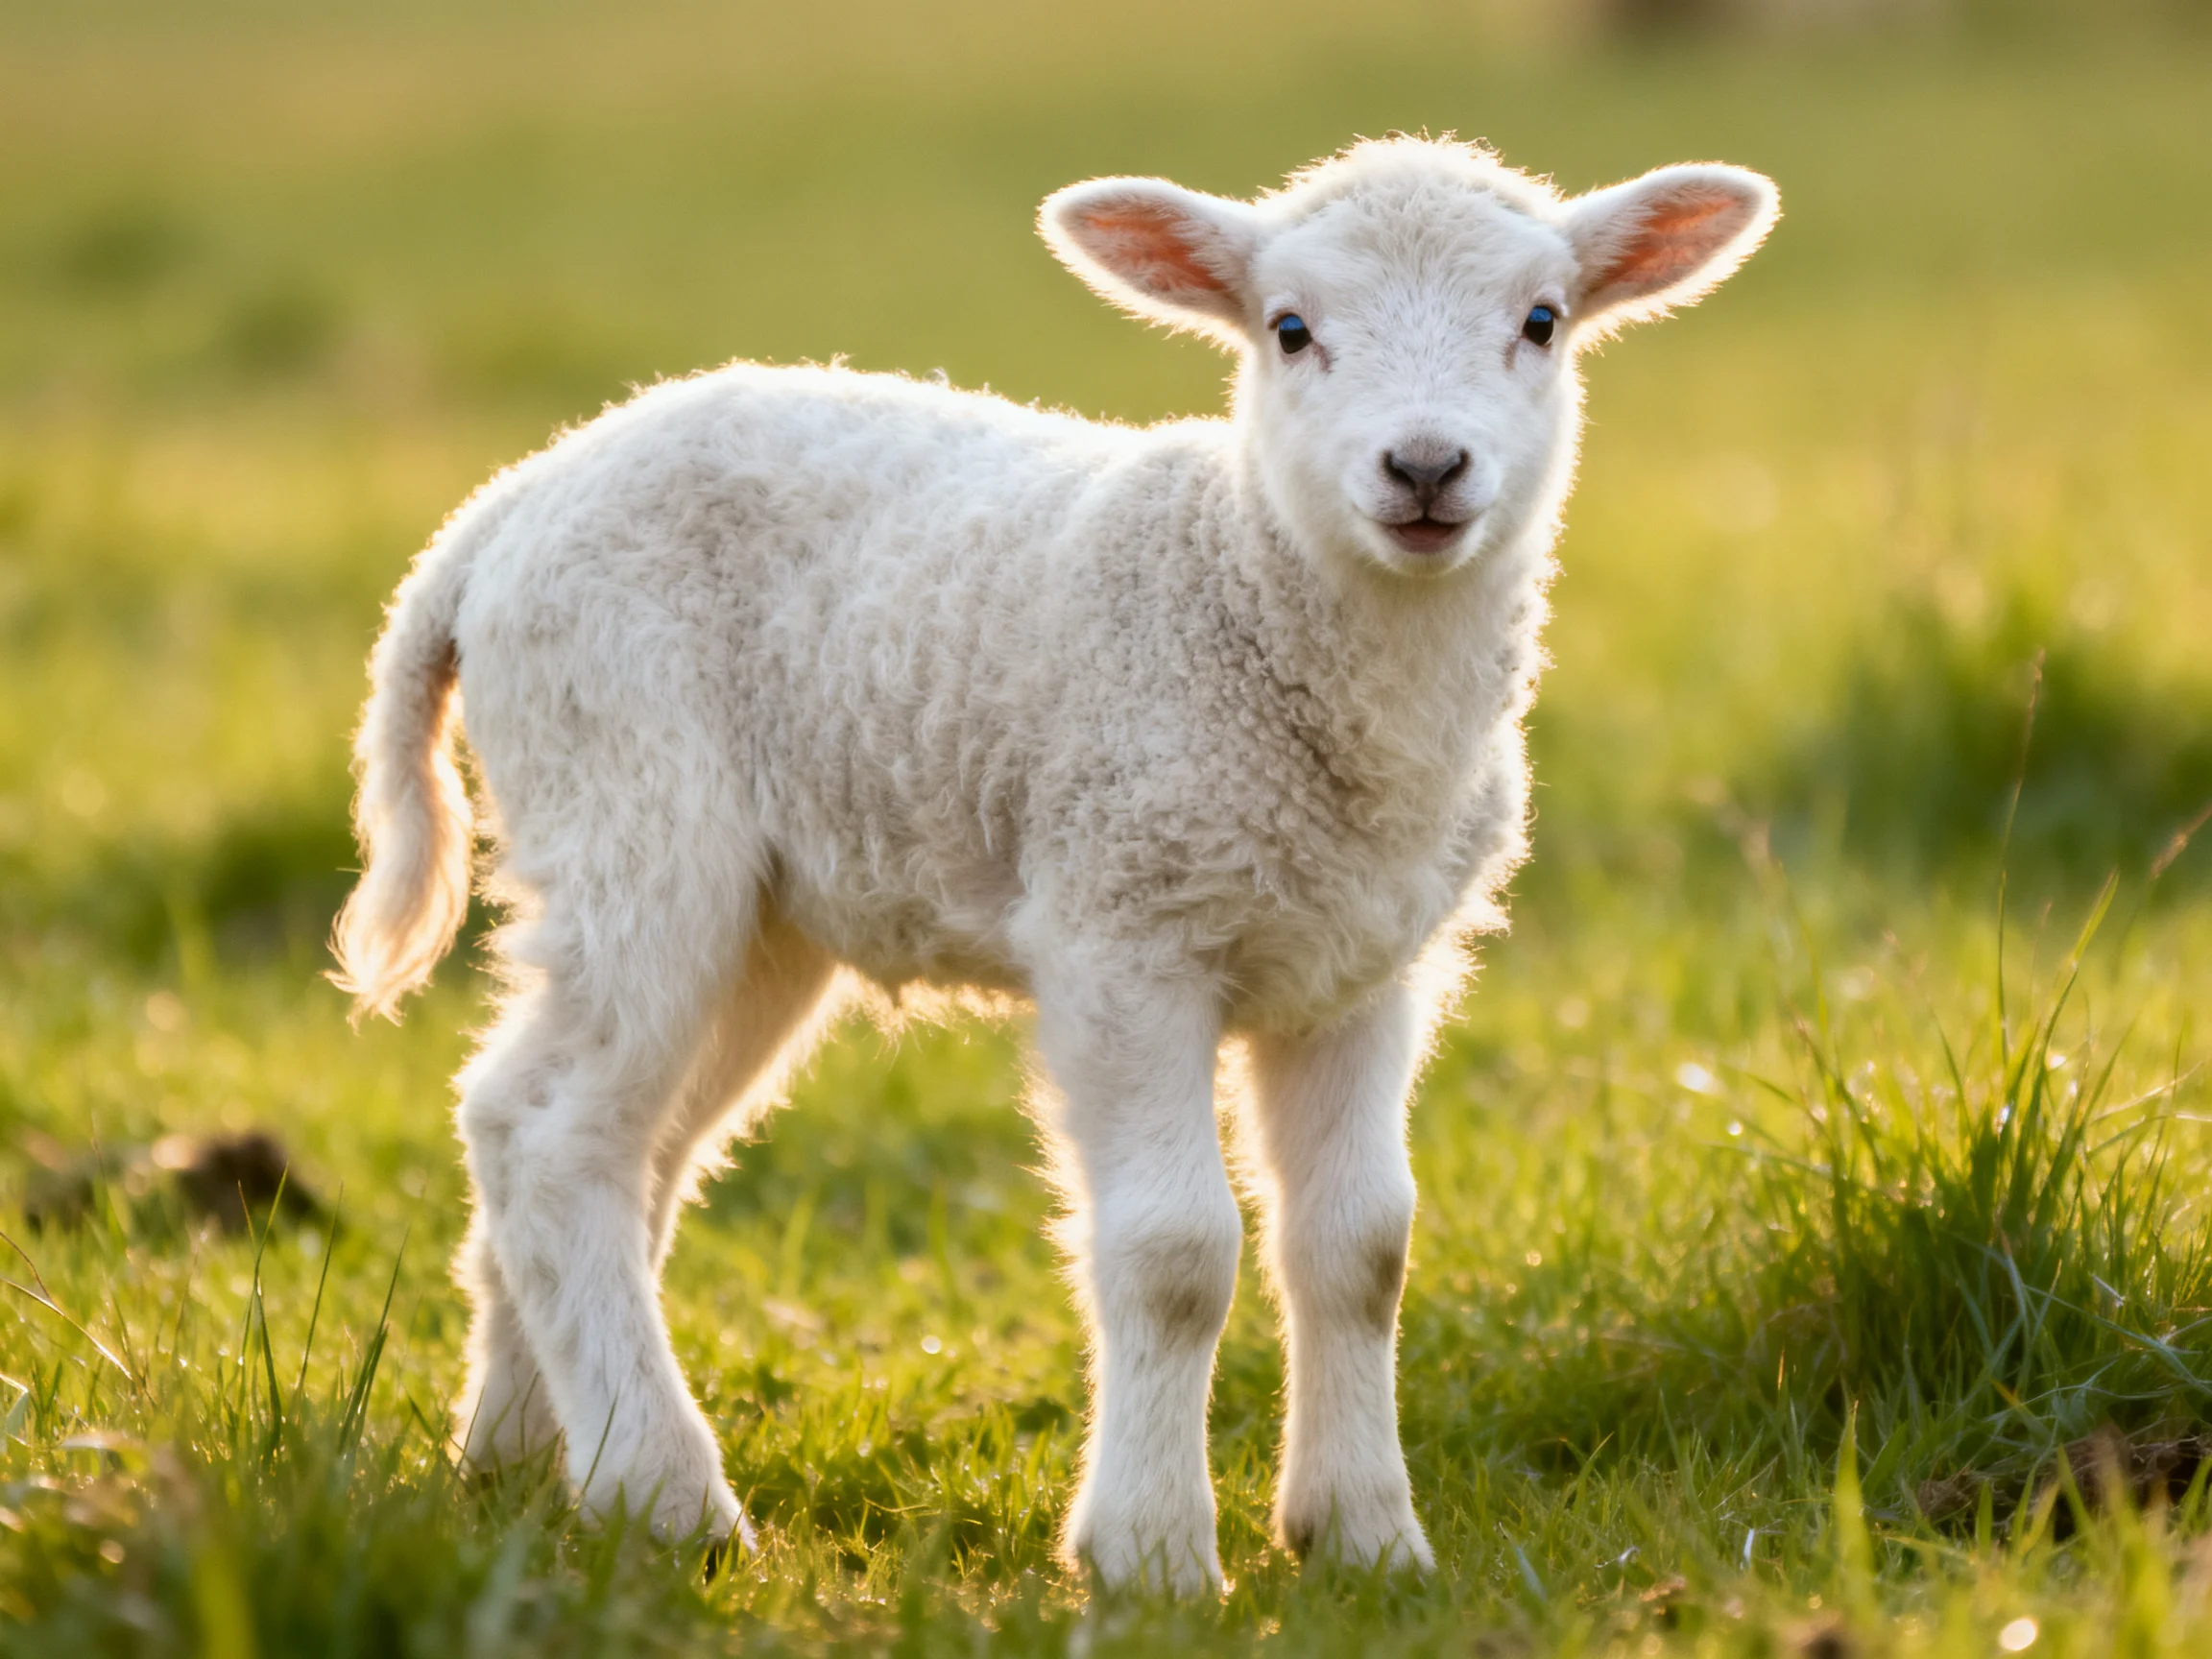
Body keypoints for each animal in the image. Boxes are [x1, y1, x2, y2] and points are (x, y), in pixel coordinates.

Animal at [332, 135, 1777, 1594]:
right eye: (1289, 328)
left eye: (1540, 321)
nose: (1425, 467)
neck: (1253, 598)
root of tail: (498, 515)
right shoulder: (1124, 928)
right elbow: (1176, 1253)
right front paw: (1151, 1554)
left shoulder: (1363, 967)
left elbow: (1362, 1246)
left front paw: (1364, 1539)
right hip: (629, 805)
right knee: (548, 1133)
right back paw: (662, 1493)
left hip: (756, 915)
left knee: (606, 1144)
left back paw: (519, 1459)